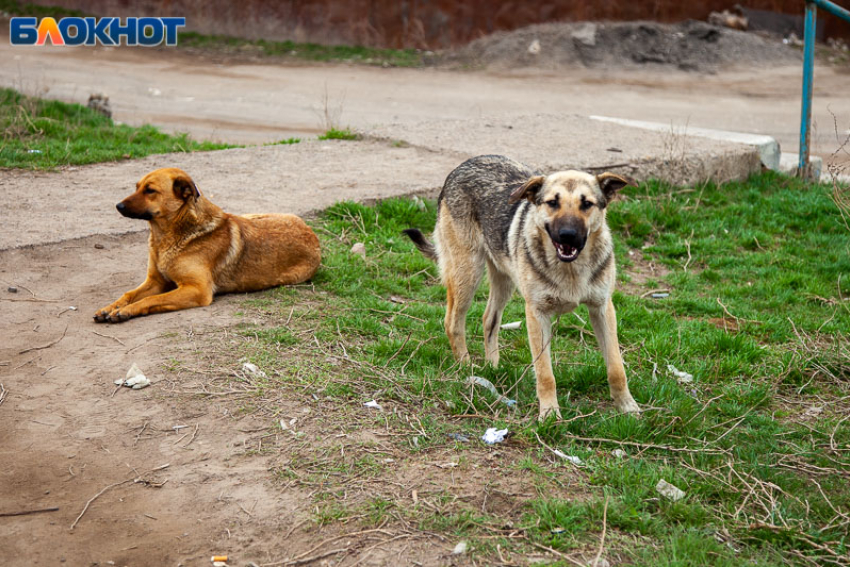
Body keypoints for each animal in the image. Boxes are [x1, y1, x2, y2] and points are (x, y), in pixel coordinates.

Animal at [93, 166, 318, 322]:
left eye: (150, 190)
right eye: (137, 187)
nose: (118, 206)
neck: (170, 236)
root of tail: (312, 235)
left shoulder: (197, 289)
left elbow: (151, 299)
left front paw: (126, 311)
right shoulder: (155, 281)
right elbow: (129, 294)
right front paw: (111, 307)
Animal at [402, 155, 636, 422]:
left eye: (586, 204)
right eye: (552, 203)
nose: (567, 235)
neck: (571, 270)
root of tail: (466, 163)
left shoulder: (602, 308)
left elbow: (616, 367)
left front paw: (627, 407)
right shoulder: (537, 314)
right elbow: (545, 373)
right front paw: (549, 414)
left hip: (504, 280)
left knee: (489, 319)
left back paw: (492, 367)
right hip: (467, 273)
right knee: (452, 322)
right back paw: (465, 366)